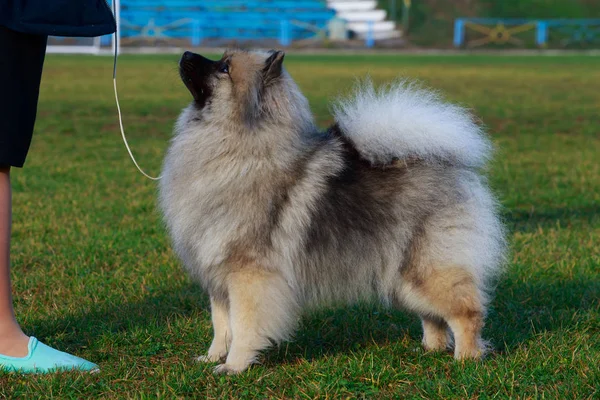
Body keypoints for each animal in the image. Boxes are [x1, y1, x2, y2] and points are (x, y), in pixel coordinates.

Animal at [159, 50, 506, 376]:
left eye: (224, 67)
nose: (186, 54)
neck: (239, 149)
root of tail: (443, 164)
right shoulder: (218, 276)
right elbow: (221, 324)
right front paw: (212, 357)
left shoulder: (249, 274)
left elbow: (244, 325)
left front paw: (233, 366)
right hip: (402, 276)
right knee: (432, 315)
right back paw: (430, 349)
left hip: (428, 268)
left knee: (466, 311)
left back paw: (466, 358)